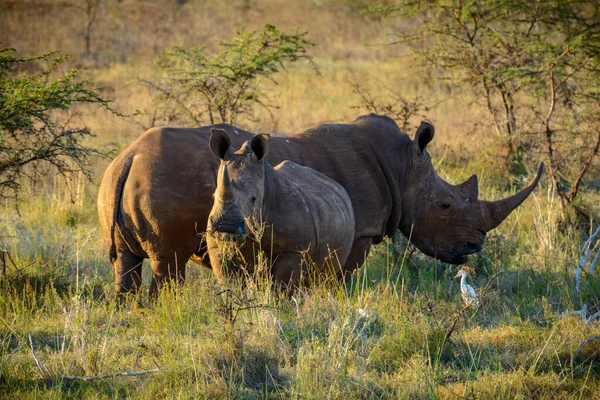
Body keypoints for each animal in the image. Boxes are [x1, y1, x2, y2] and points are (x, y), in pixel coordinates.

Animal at [206, 130, 356, 290]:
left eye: (253, 199)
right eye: (213, 196)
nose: (225, 226)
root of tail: (336, 185)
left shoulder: (294, 250)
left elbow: (282, 286)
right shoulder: (216, 247)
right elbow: (228, 281)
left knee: (327, 278)